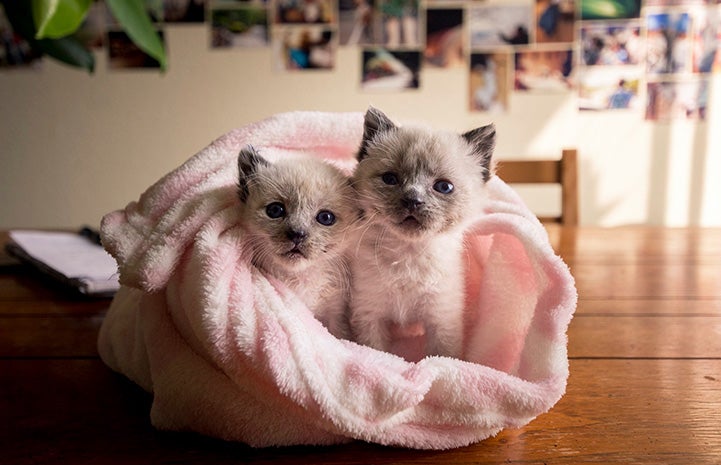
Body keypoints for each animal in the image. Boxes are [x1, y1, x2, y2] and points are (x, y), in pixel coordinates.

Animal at [344, 107, 492, 360]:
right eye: (390, 179)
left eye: (443, 187)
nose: (413, 200)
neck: (408, 255)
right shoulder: (370, 315)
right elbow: (376, 352)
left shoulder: (442, 320)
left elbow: (441, 356)